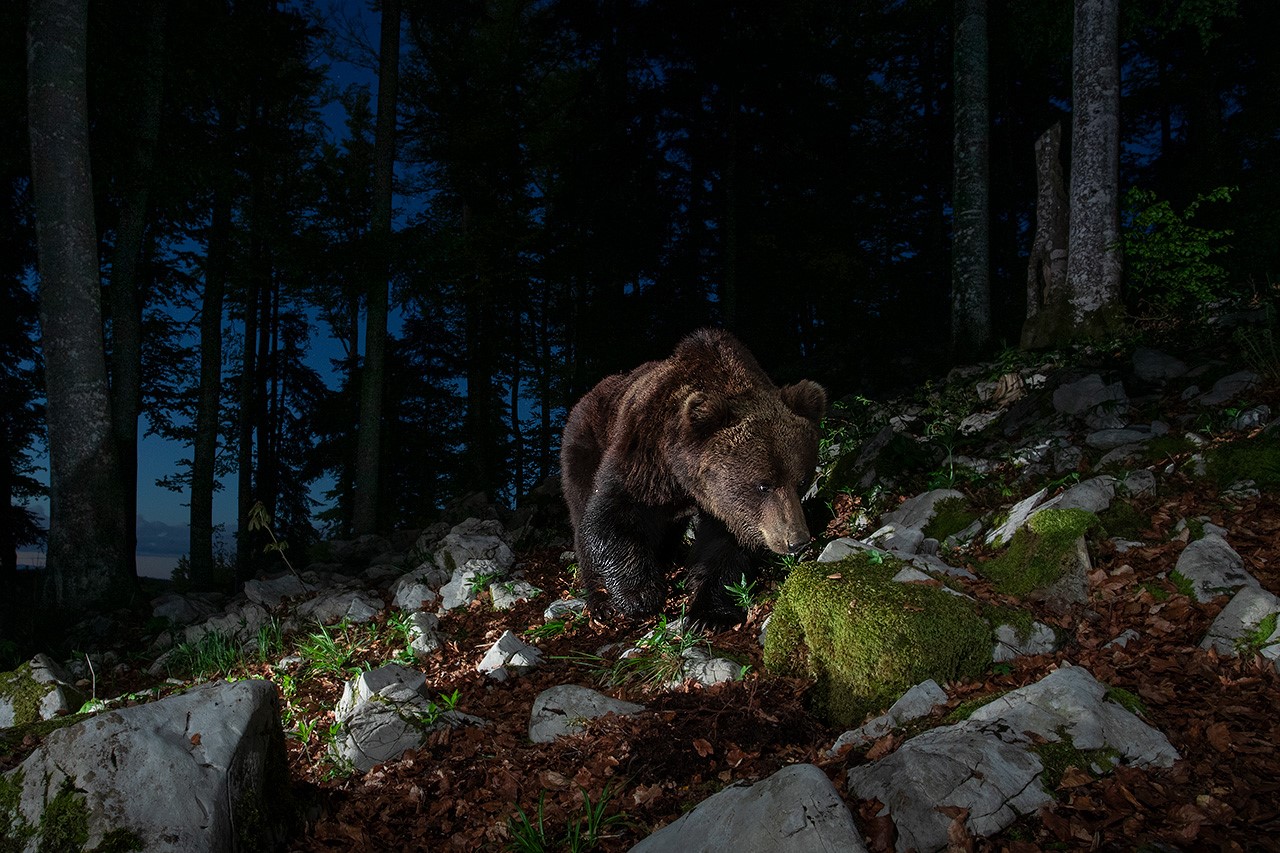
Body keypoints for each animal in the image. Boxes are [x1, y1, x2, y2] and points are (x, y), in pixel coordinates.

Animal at [559, 327, 826, 629]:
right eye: (763, 485)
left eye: (801, 481)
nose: (796, 540)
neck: (685, 478)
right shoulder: (646, 456)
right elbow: (611, 514)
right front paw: (639, 595)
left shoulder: (726, 505)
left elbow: (723, 546)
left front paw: (708, 614)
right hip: (585, 442)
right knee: (581, 509)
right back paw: (601, 602)